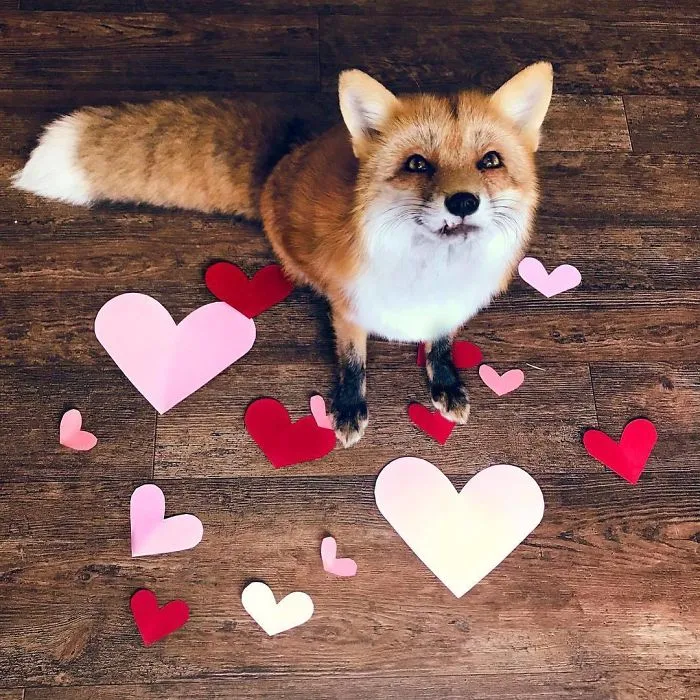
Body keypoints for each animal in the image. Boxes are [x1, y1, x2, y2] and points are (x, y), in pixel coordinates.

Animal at [13, 62, 554, 447]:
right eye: (417, 164)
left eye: (490, 162)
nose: (463, 202)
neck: (427, 278)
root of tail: (288, 152)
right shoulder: (349, 309)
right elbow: (353, 361)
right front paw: (349, 408)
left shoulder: (449, 312)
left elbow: (439, 346)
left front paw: (444, 383)